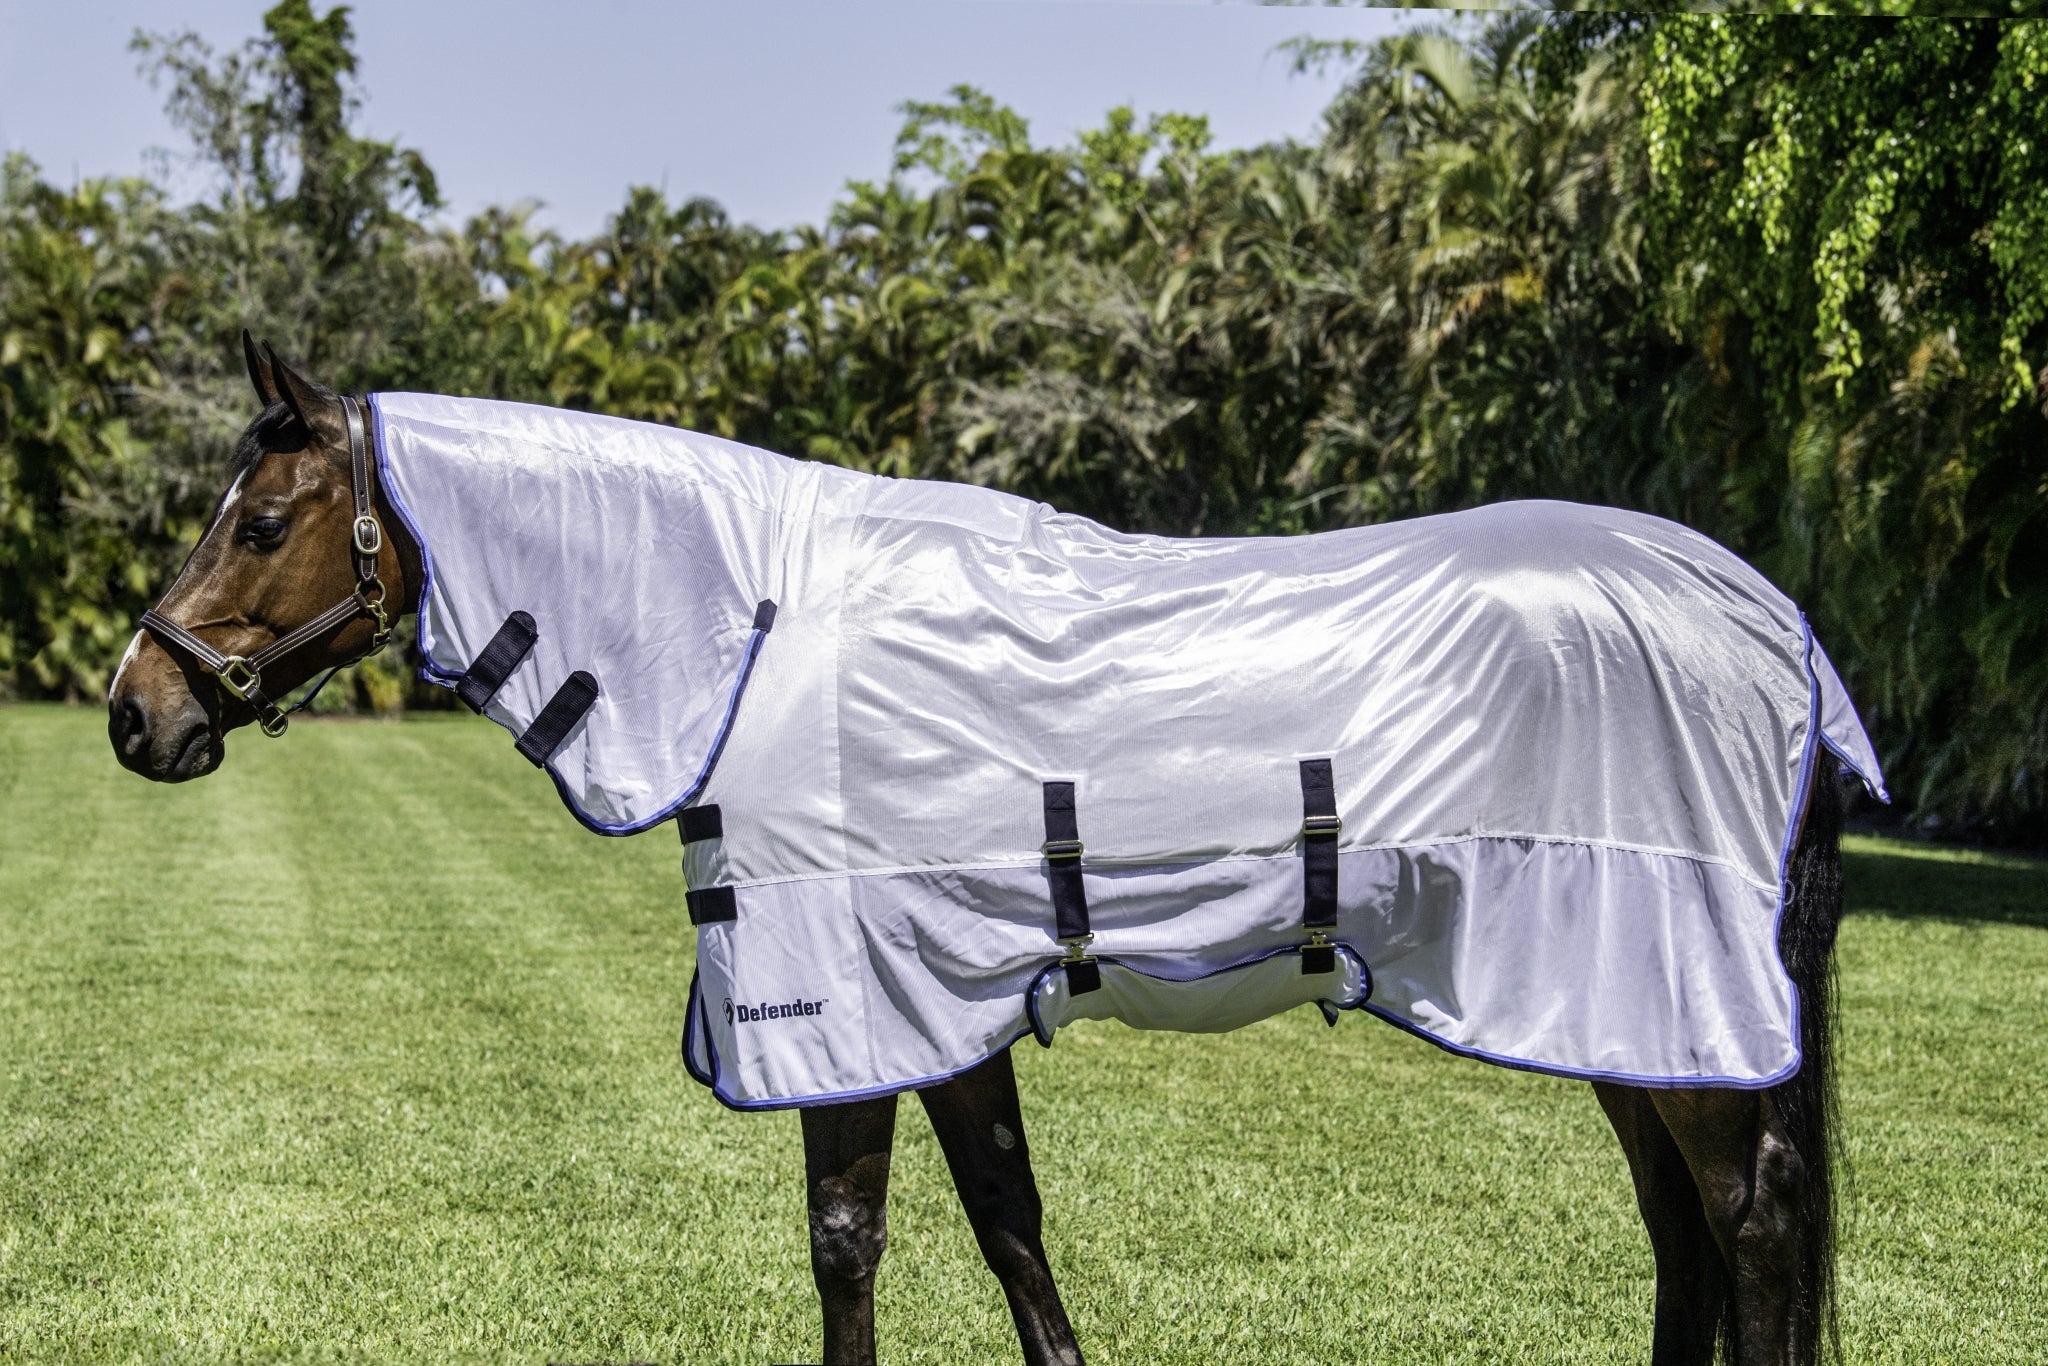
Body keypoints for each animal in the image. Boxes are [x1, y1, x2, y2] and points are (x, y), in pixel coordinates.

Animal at [108, 337, 1855, 1366]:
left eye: (260, 521)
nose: (137, 710)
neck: (756, 624)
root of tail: (1771, 620)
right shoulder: (947, 1007)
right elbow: (1012, 1227)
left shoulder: (844, 1009)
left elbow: (847, 1244)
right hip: (1623, 1009)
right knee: (1685, 1235)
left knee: (1751, 1223)